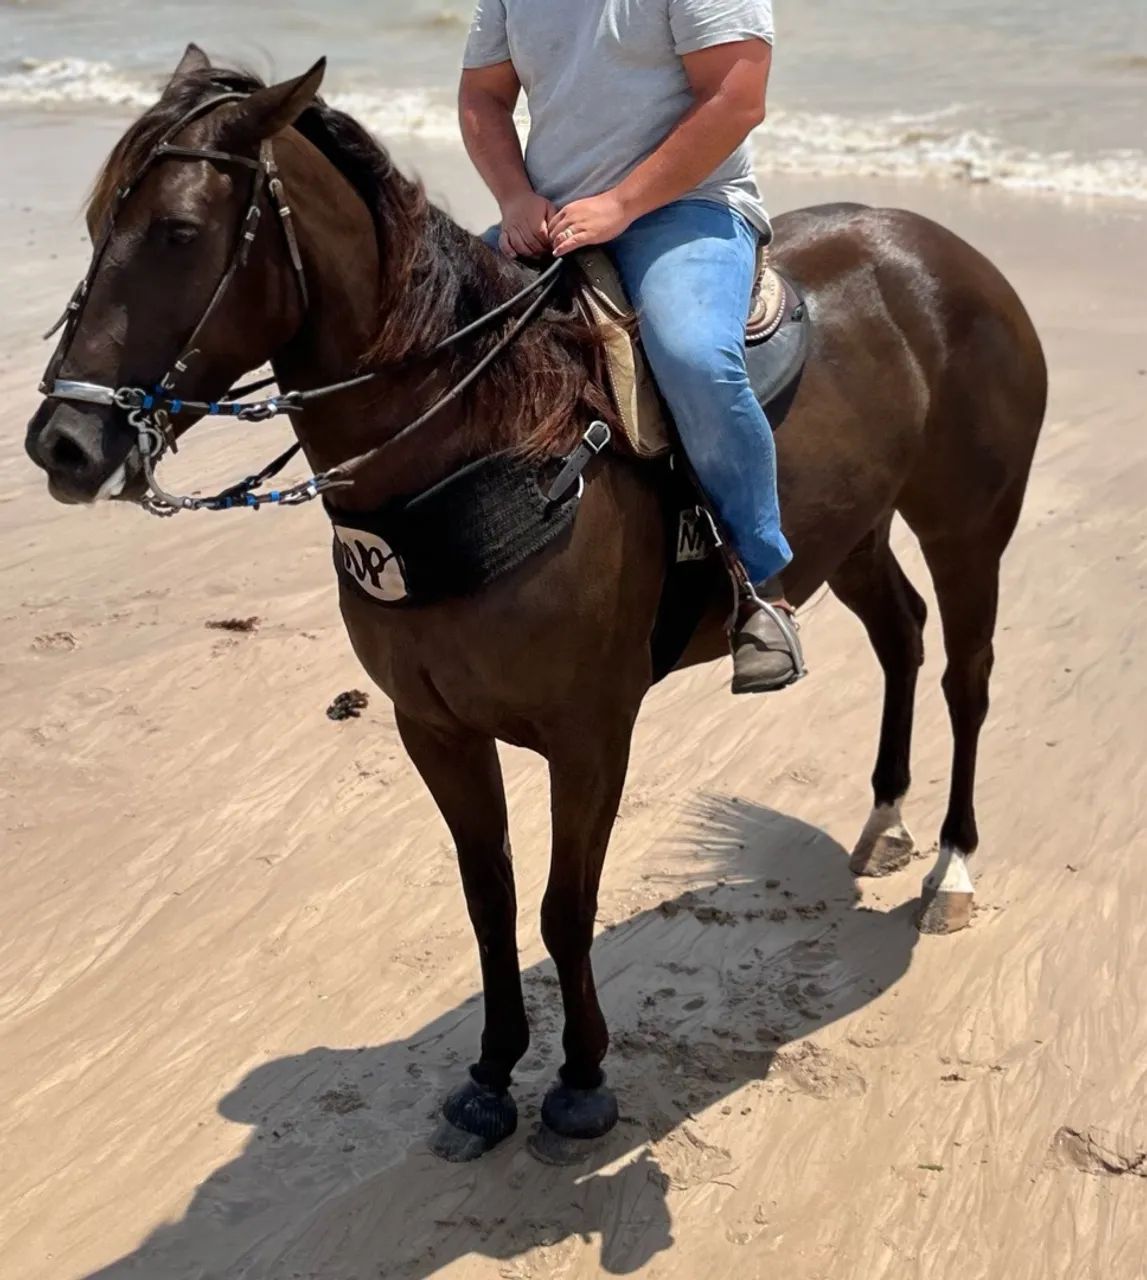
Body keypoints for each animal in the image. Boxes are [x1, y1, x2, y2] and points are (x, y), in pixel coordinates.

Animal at [24, 48, 1047, 1163]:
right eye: (97, 224)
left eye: (177, 231)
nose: (62, 442)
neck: (484, 442)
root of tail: (943, 253)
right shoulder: (433, 728)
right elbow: (490, 900)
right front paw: (489, 1073)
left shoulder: (589, 733)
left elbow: (563, 906)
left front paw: (581, 1080)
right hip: (848, 528)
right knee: (900, 635)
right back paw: (885, 820)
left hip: (966, 525)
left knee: (966, 676)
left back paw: (950, 867)